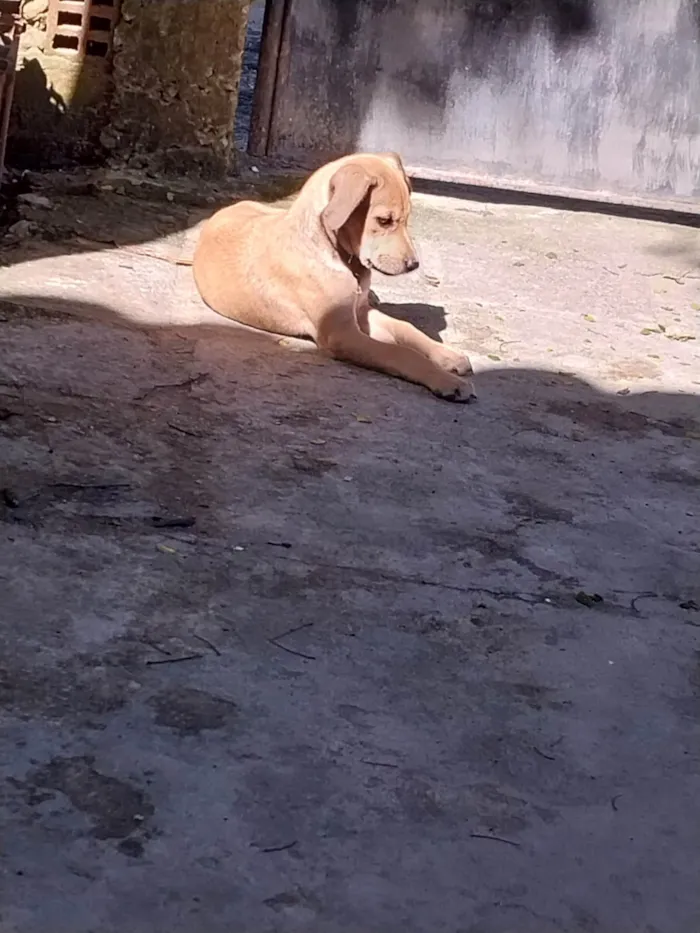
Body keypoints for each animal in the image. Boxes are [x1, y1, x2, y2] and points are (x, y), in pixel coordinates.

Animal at [193, 152, 476, 400]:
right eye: (384, 221)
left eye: (407, 218)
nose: (413, 264)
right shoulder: (342, 334)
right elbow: (399, 353)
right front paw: (446, 381)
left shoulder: (361, 312)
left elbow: (407, 328)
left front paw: (448, 356)